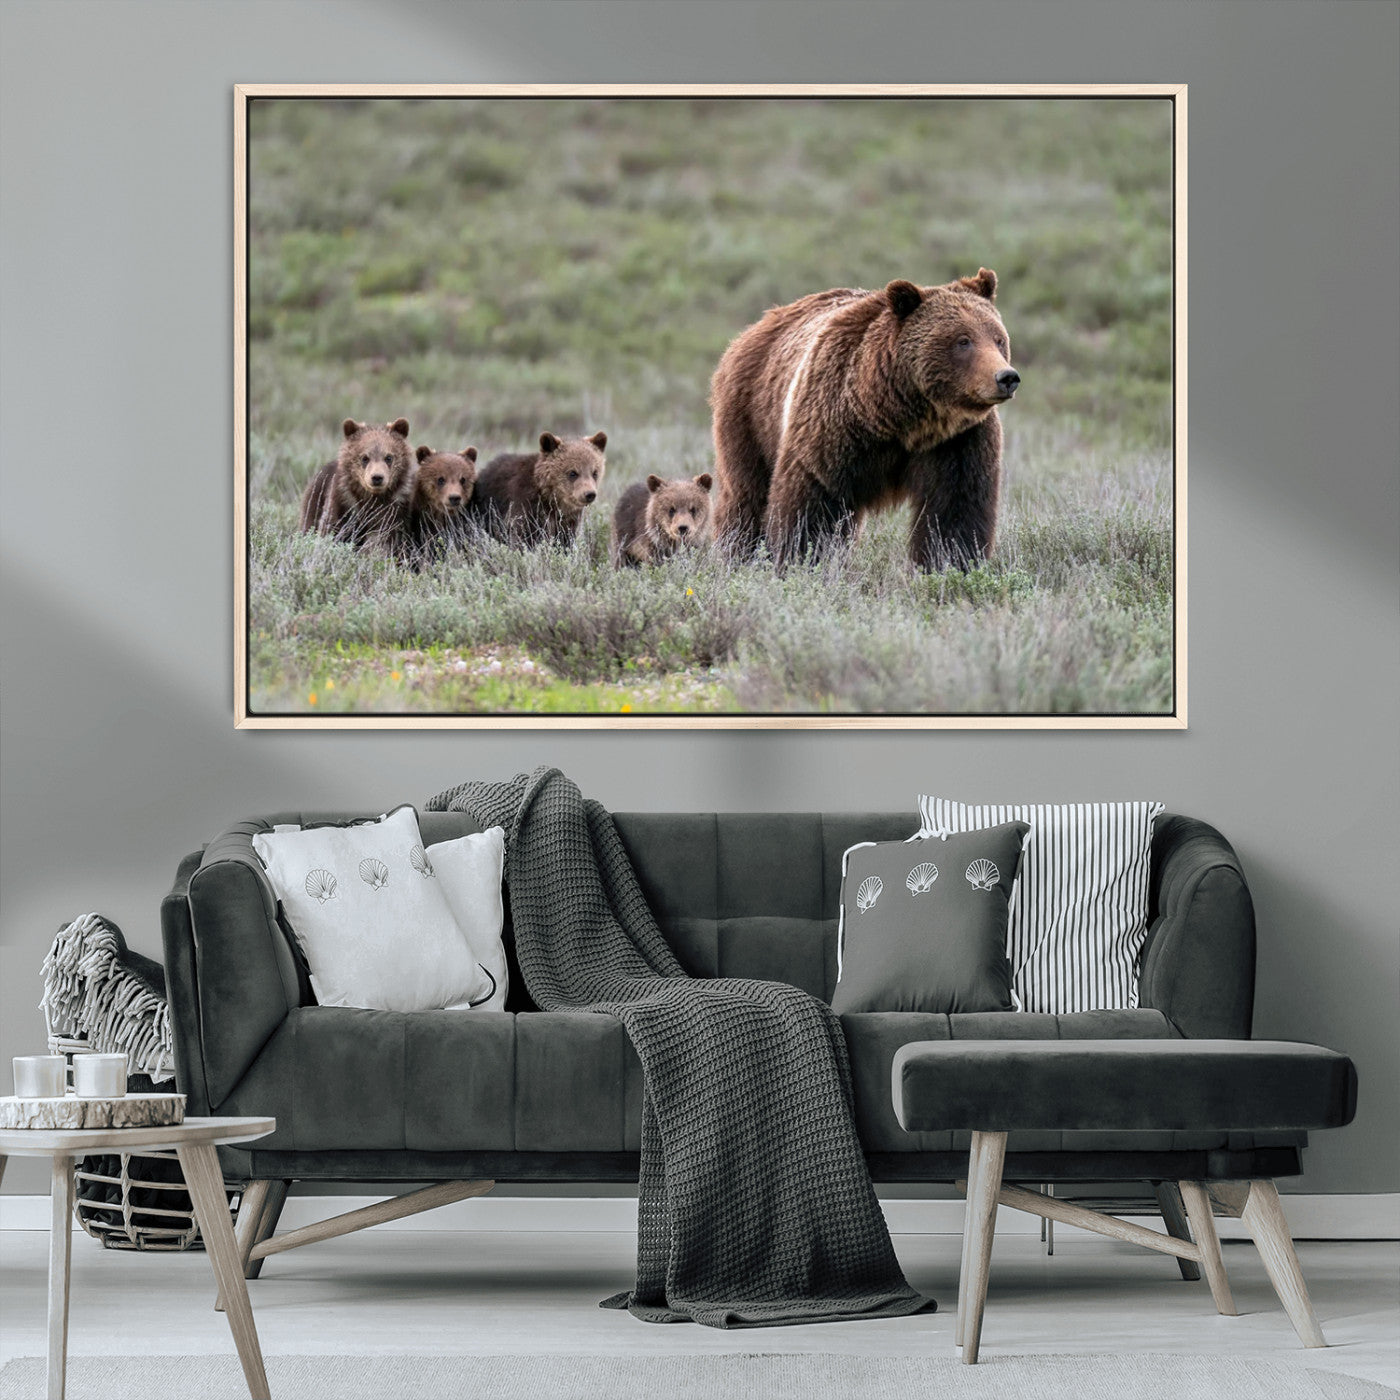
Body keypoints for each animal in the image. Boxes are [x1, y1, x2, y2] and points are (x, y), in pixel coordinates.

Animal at [298, 417, 415, 551]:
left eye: (388, 457)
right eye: (365, 458)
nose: (377, 477)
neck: (371, 497)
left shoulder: (395, 507)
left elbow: (386, 537)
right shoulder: (344, 501)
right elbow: (331, 527)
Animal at [471, 431, 608, 546]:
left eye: (595, 472)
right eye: (573, 473)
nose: (589, 494)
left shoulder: (567, 519)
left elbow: (565, 540)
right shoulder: (526, 505)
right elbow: (524, 537)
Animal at [709, 270, 1019, 570]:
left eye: (998, 339)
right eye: (963, 341)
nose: (1006, 377)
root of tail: (758, 325)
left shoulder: (957, 441)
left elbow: (955, 511)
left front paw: (950, 565)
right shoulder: (833, 428)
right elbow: (811, 504)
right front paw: (800, 561)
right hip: (751, 414)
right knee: (746, 495)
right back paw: (737, 553)